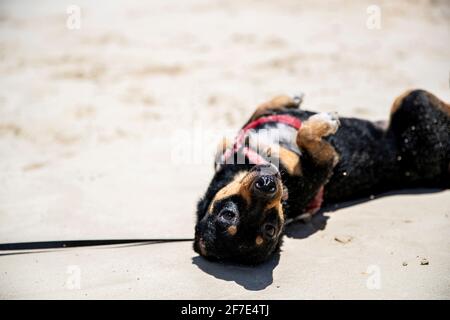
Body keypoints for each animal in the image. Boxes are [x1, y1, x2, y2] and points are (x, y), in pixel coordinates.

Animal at [193, 89, 450, 264]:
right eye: (270, 229)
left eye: (227, 214)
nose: (267, 185)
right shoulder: (325, 163)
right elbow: (305, 136)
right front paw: (324, 122)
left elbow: (261, 111)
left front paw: (291, 99)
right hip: (413, 101)